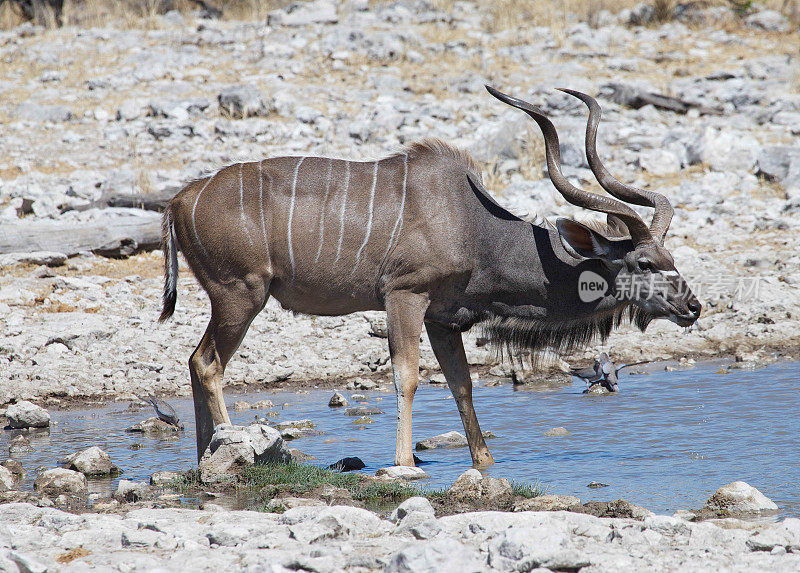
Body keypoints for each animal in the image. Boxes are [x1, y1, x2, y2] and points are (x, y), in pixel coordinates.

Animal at [161, 88, 700, 464]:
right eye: (645, 263)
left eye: (671, 257)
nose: (692, 306)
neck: (472, 226)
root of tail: (179, 200)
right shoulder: (405, 295)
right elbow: (407, 376)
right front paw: (403, 463)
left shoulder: (443, 318)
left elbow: (461, 383)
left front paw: (484, 461)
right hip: (241, 296)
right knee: (208, 363)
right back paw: (236, 447)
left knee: (193, 361)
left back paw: (206, 457)